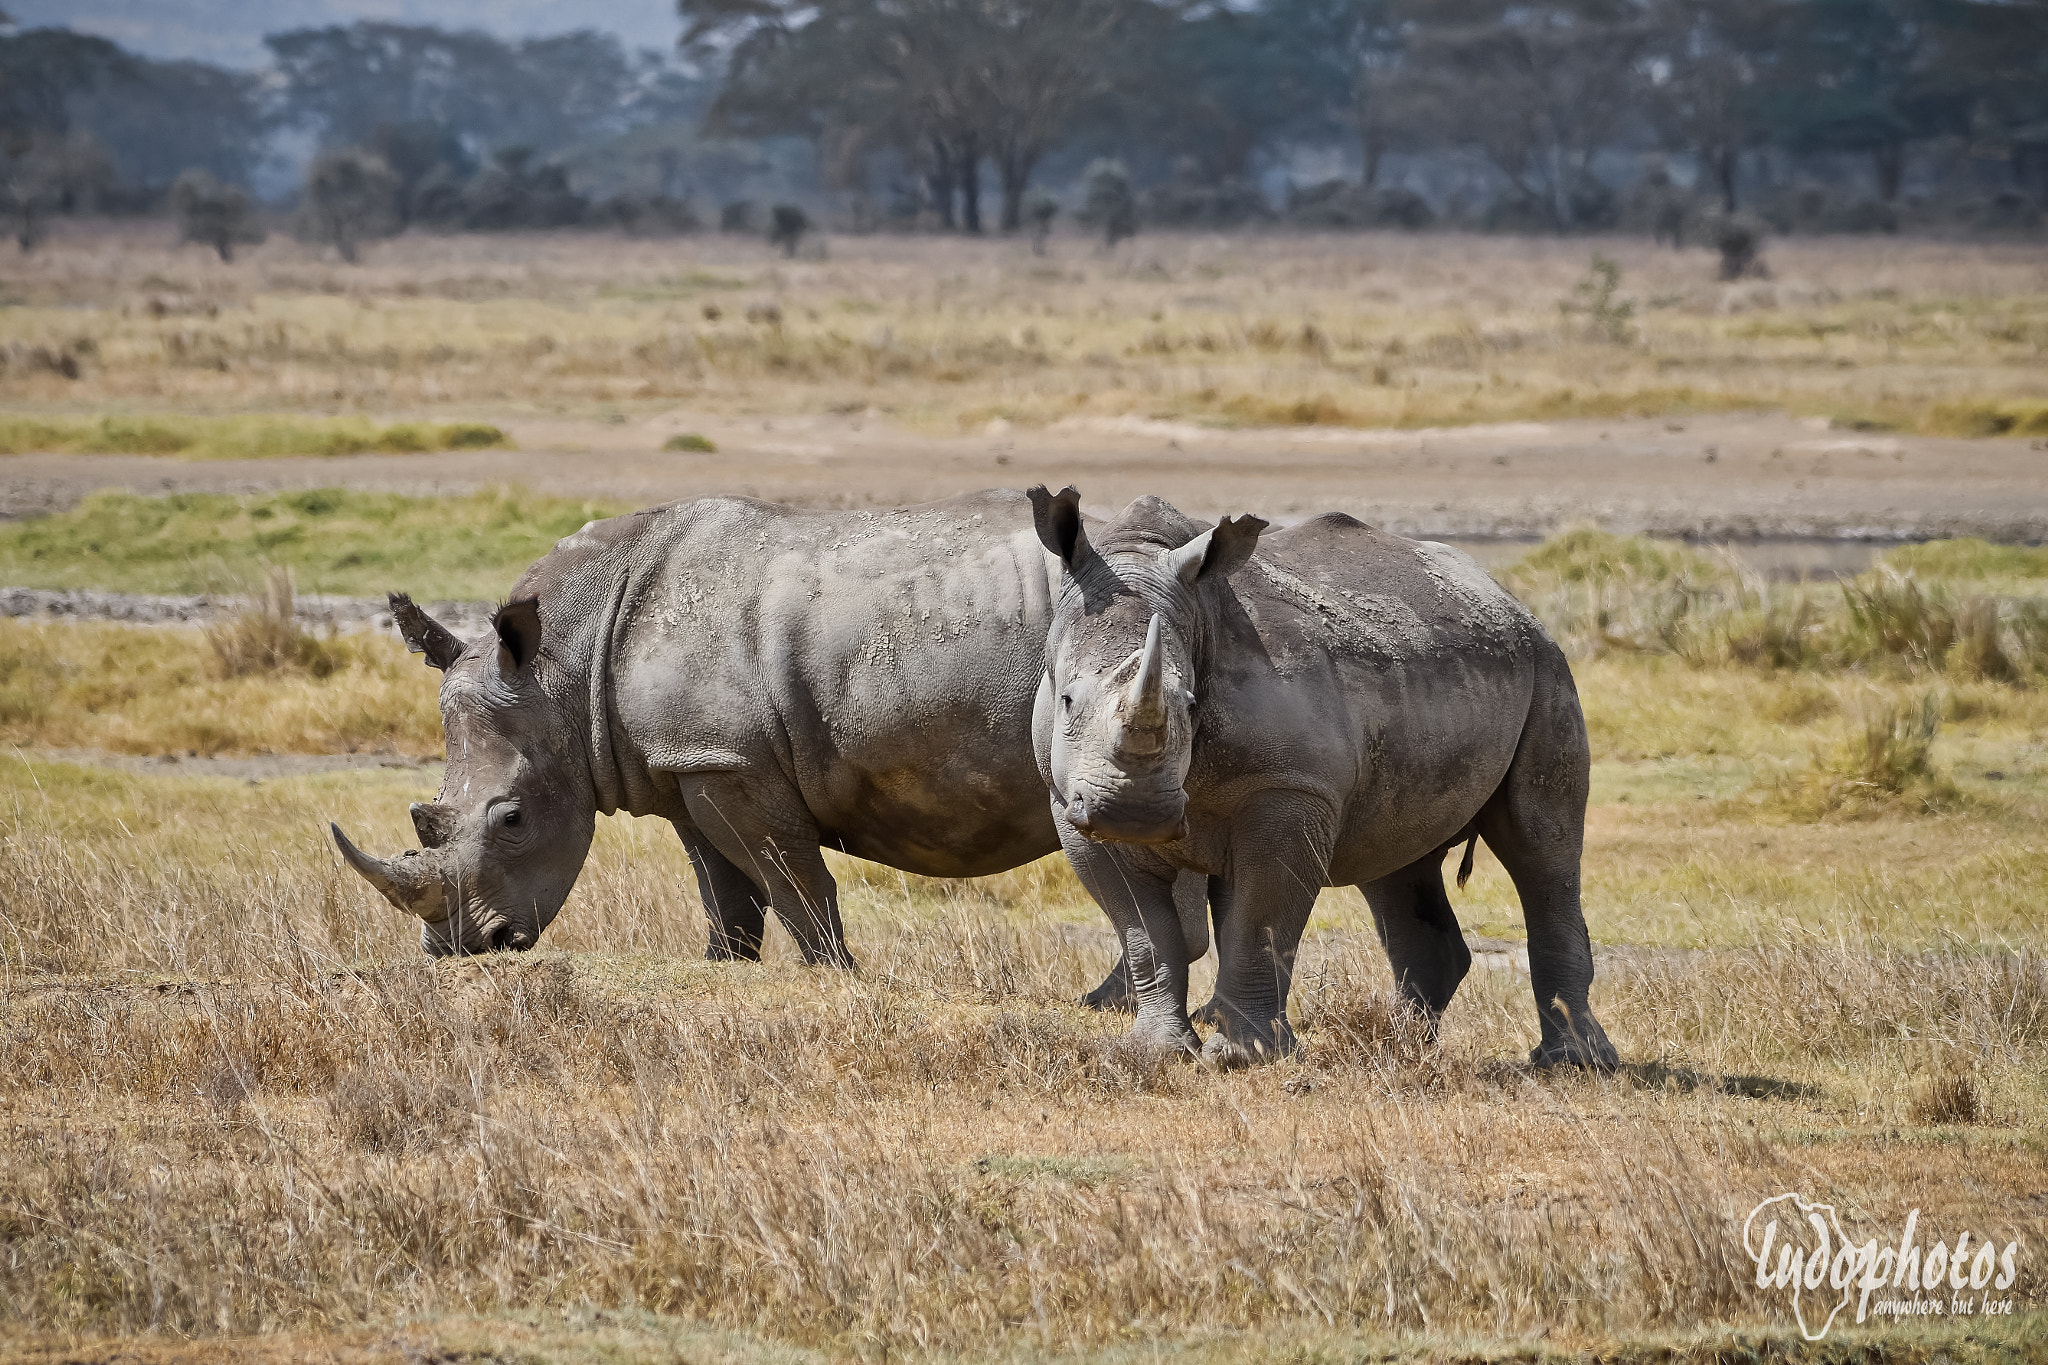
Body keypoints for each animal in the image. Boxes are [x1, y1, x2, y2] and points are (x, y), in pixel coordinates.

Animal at [327, 485, 1204, 978]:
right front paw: (723, 968)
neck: (561, 667)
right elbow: (725, 889)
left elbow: (793, 883)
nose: (458, 947)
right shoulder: (686, 762)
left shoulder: (731, 761)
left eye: (511, 818)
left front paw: (836, 976)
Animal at [1024, 485, 1613, 1072]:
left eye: (1191, 706)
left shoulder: (1291, 786)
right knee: (1396, 858)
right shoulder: (1068, 801)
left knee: (1541, 849)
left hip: (1545, 667)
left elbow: (1258, 921)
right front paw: (1155, 1051)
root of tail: (1506, 598)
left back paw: (1572, 1063)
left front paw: (1240, 1056)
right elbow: (1144, 932)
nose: (1134, 810)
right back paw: (1399, 1049)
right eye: (1067, 699)